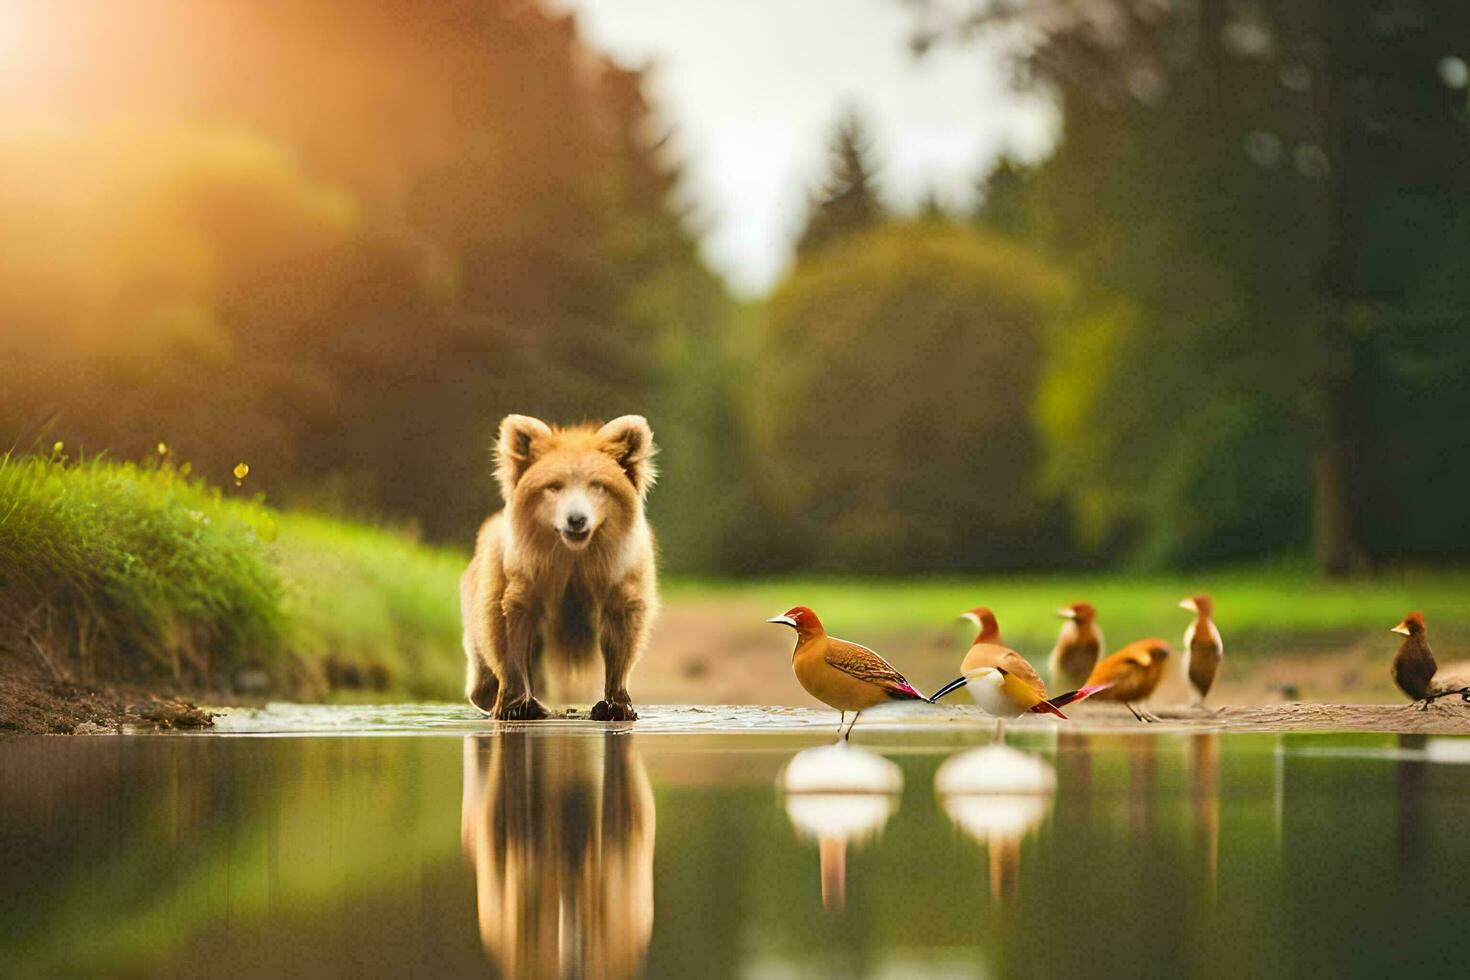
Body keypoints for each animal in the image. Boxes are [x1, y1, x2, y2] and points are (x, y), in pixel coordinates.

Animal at [461, 414, 658, 719]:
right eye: (554, 486)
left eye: (597, 485)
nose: (576, 519)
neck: (573, 559)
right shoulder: (524, 580)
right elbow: (510, 631)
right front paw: (517, 705)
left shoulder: (618, 578)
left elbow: (622, 637)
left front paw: (616, 705)